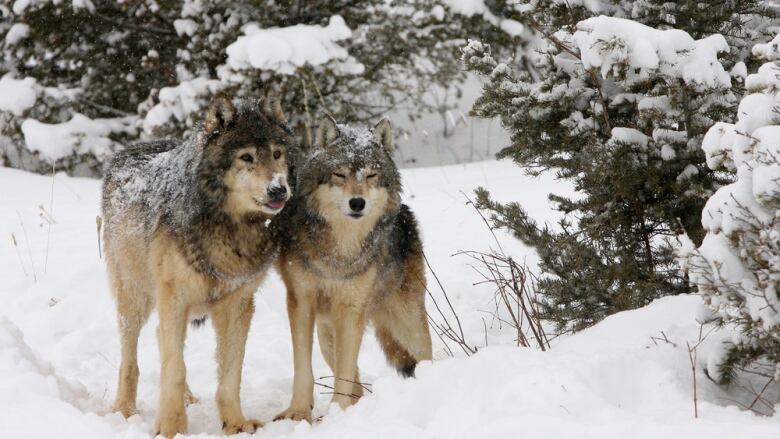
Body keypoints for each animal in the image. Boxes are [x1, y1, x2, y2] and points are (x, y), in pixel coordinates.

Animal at [99, 92, 290, 436]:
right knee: (131, 358)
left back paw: (187, 399)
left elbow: (230, 376)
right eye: (246, 157)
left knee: (162, 340)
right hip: (134, 299)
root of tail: (126, 152)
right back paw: (124, 409)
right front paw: (171, 426)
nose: (278, 189)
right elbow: (174, 368)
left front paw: (236, 423)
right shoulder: (174, 298)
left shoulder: (238, 305)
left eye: (277, 153)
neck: (229, 228)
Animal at [272, 116, 432, 422]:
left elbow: (345, 374)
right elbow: (304, 369)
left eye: (370, 176)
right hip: (326, 334)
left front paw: (339, 415)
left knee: (426, 357)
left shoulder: (351, 310)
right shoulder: (300, 303)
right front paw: (299, 412)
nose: (357, 203)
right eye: (340, 174)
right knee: (353, 379)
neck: (340, 251)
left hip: (408, 323)